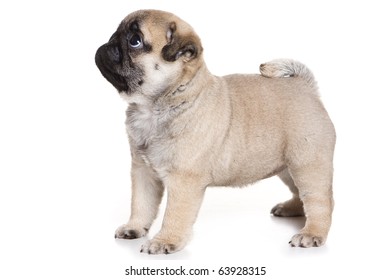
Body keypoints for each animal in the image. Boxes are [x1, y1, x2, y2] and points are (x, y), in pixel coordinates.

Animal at [94, 9, 336, 254]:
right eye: (116, 32)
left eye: (135, 41)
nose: (108, 43)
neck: (165, 101)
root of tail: (306, 88)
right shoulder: (144, 172)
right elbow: (141, 205)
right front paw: (134, 228)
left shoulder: (183, 180)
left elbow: (174, 215)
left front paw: (164, 241)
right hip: (286, 166)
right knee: (299, 194)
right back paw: (291, 209)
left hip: (307, 164)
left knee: (319, 201)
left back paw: (311, 233)